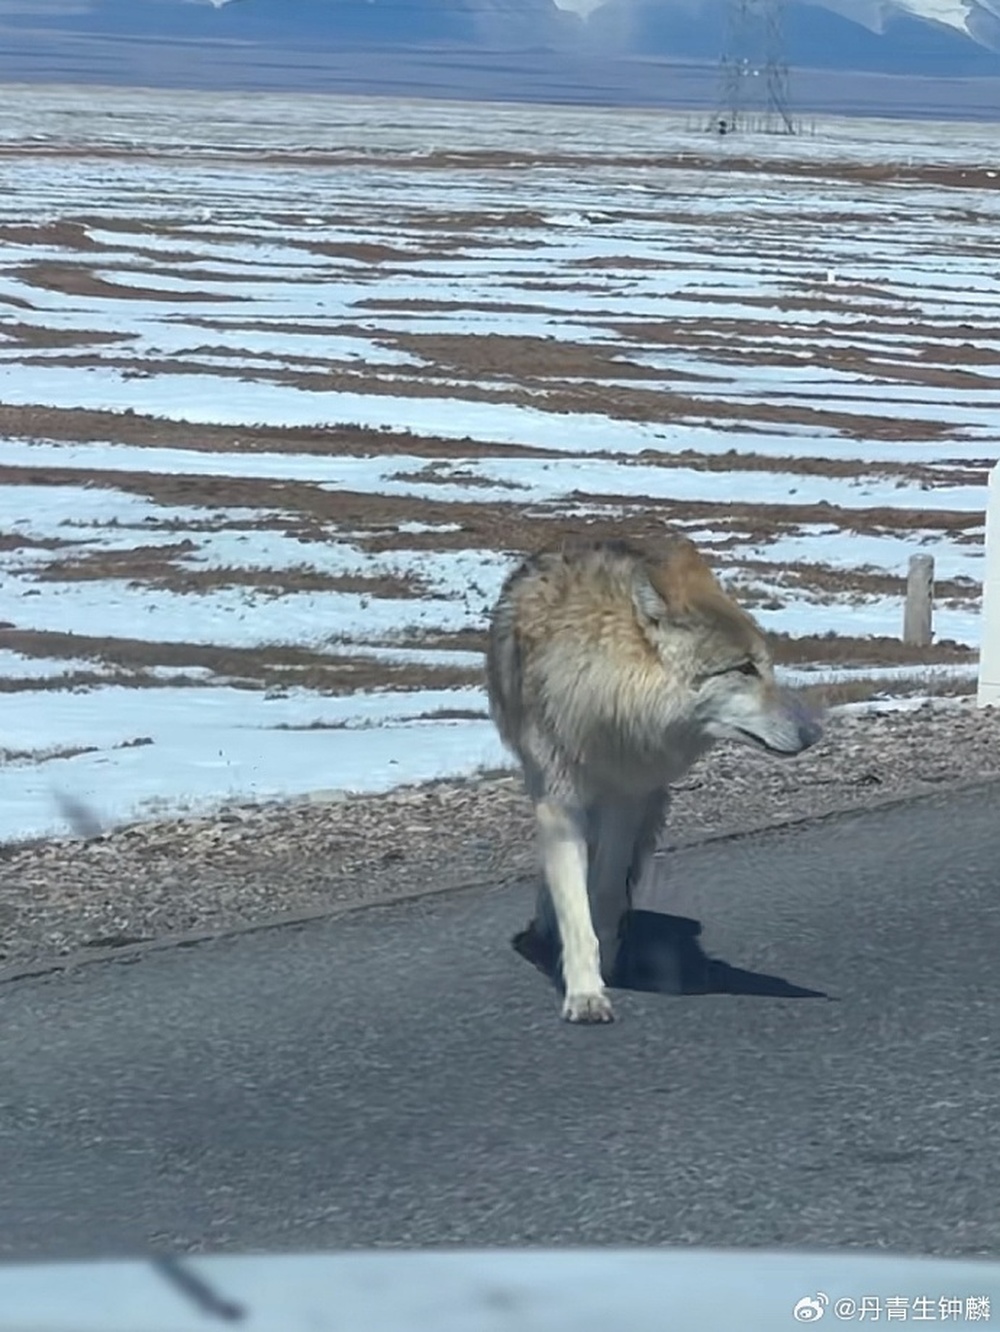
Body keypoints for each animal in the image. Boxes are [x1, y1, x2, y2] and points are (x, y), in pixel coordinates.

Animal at [484, 535, 820, 1022]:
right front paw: (585, 993)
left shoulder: (626, 797)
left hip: (648, 797)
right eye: (744, 669)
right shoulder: (559, 800)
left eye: (767, 667)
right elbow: (574, 908)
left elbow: (603, 894)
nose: (814, 733)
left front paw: (606, 962)